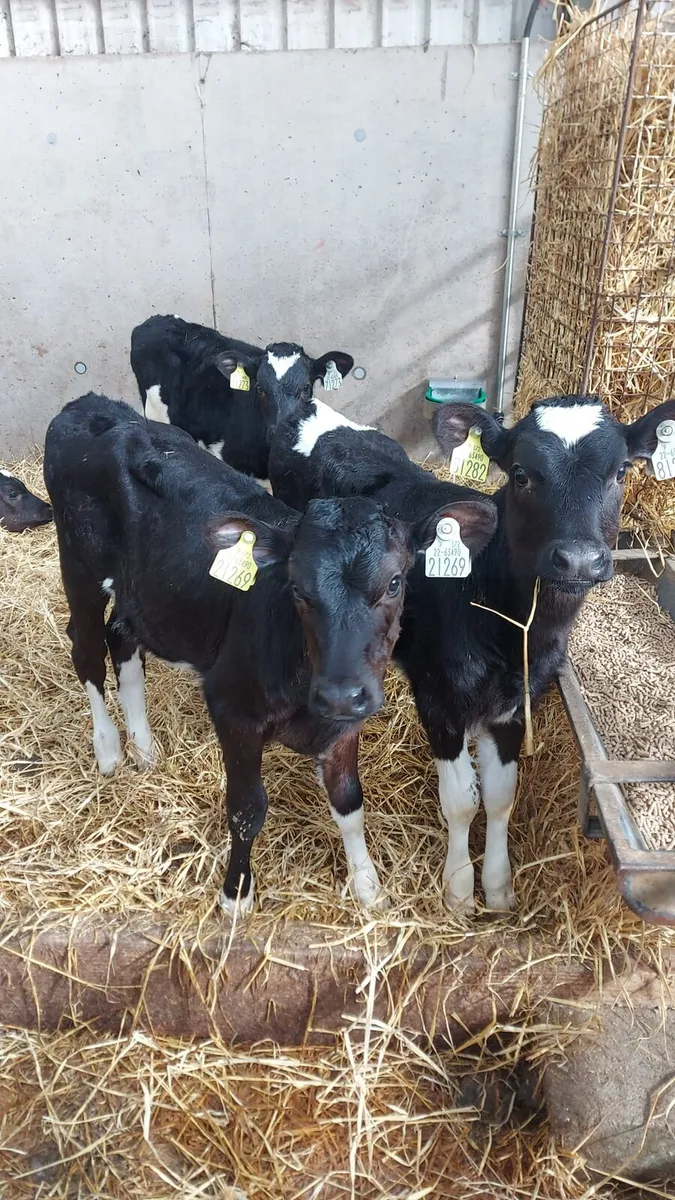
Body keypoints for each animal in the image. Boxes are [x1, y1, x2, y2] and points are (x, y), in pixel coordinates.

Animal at [43, 392, 496, 914]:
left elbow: (350, 802)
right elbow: (247, 808)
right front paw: (236, 893)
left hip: (141, 593)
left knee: (121, 638)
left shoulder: (344, 726)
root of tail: (89, 406)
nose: (341, 694)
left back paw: (144, 748)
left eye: (396, 582)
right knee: (86, 649)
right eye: (296, 588)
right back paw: (109, 749)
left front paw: (367, 887)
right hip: (78, 564)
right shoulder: (232, 708)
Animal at [268, 389, 675, 913]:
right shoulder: (437, 698)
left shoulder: (518, 703)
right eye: (520, 474)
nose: (580, 560)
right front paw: (459, 890)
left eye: (621, 471)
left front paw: (498, 886)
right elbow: (461, 800)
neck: (511, 628)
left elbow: (501, 796)